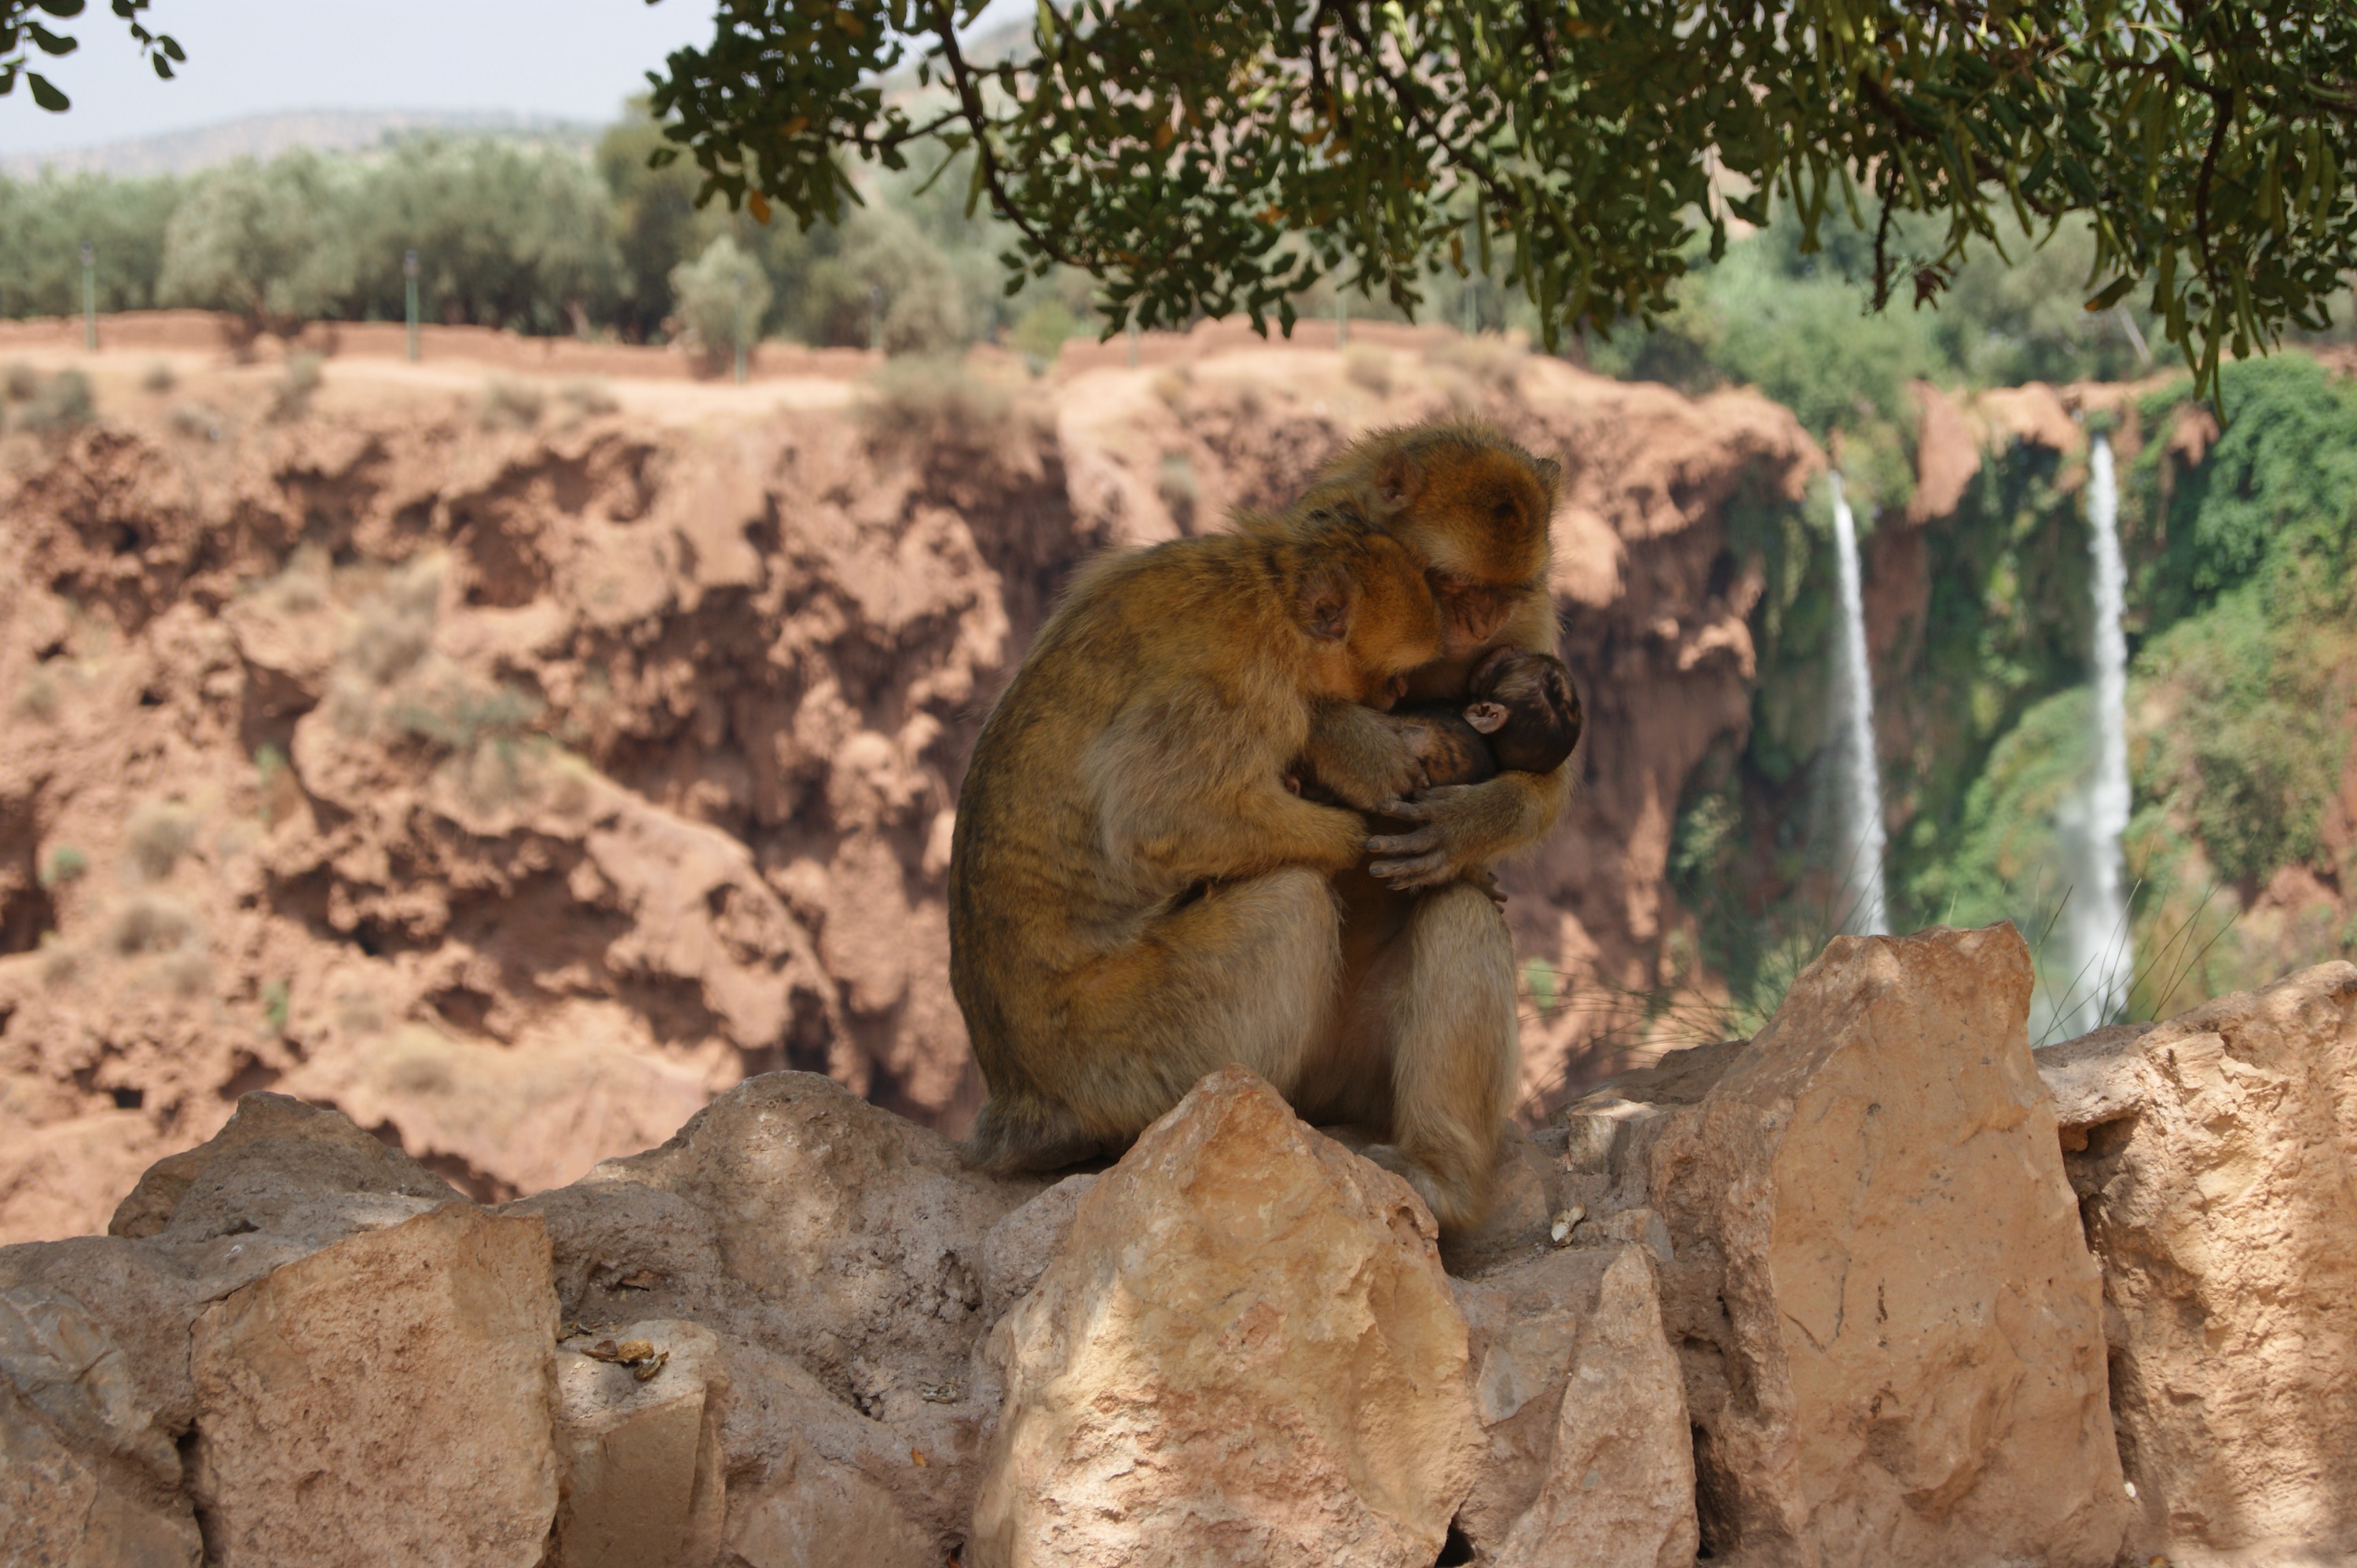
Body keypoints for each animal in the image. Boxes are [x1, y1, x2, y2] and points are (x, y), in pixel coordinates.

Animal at [948, 507, 1445, 1176]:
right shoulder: (1236, 686)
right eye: (1396, 677)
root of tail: (1022, 1095)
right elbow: (1164, 822)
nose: (1395, 699)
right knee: (1292, 900)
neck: (1271, 589)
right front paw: (1361, 832)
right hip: (1130, 1052)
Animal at [1234, 418, 1568, 1234]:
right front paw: (1361, 748)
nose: (1479, 624)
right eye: (1452, 586)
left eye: (1498, 596)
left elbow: (1547, 779)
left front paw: (1468, 828)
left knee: (1458, 909)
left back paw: (1438, 1177)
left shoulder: (1530, 616)